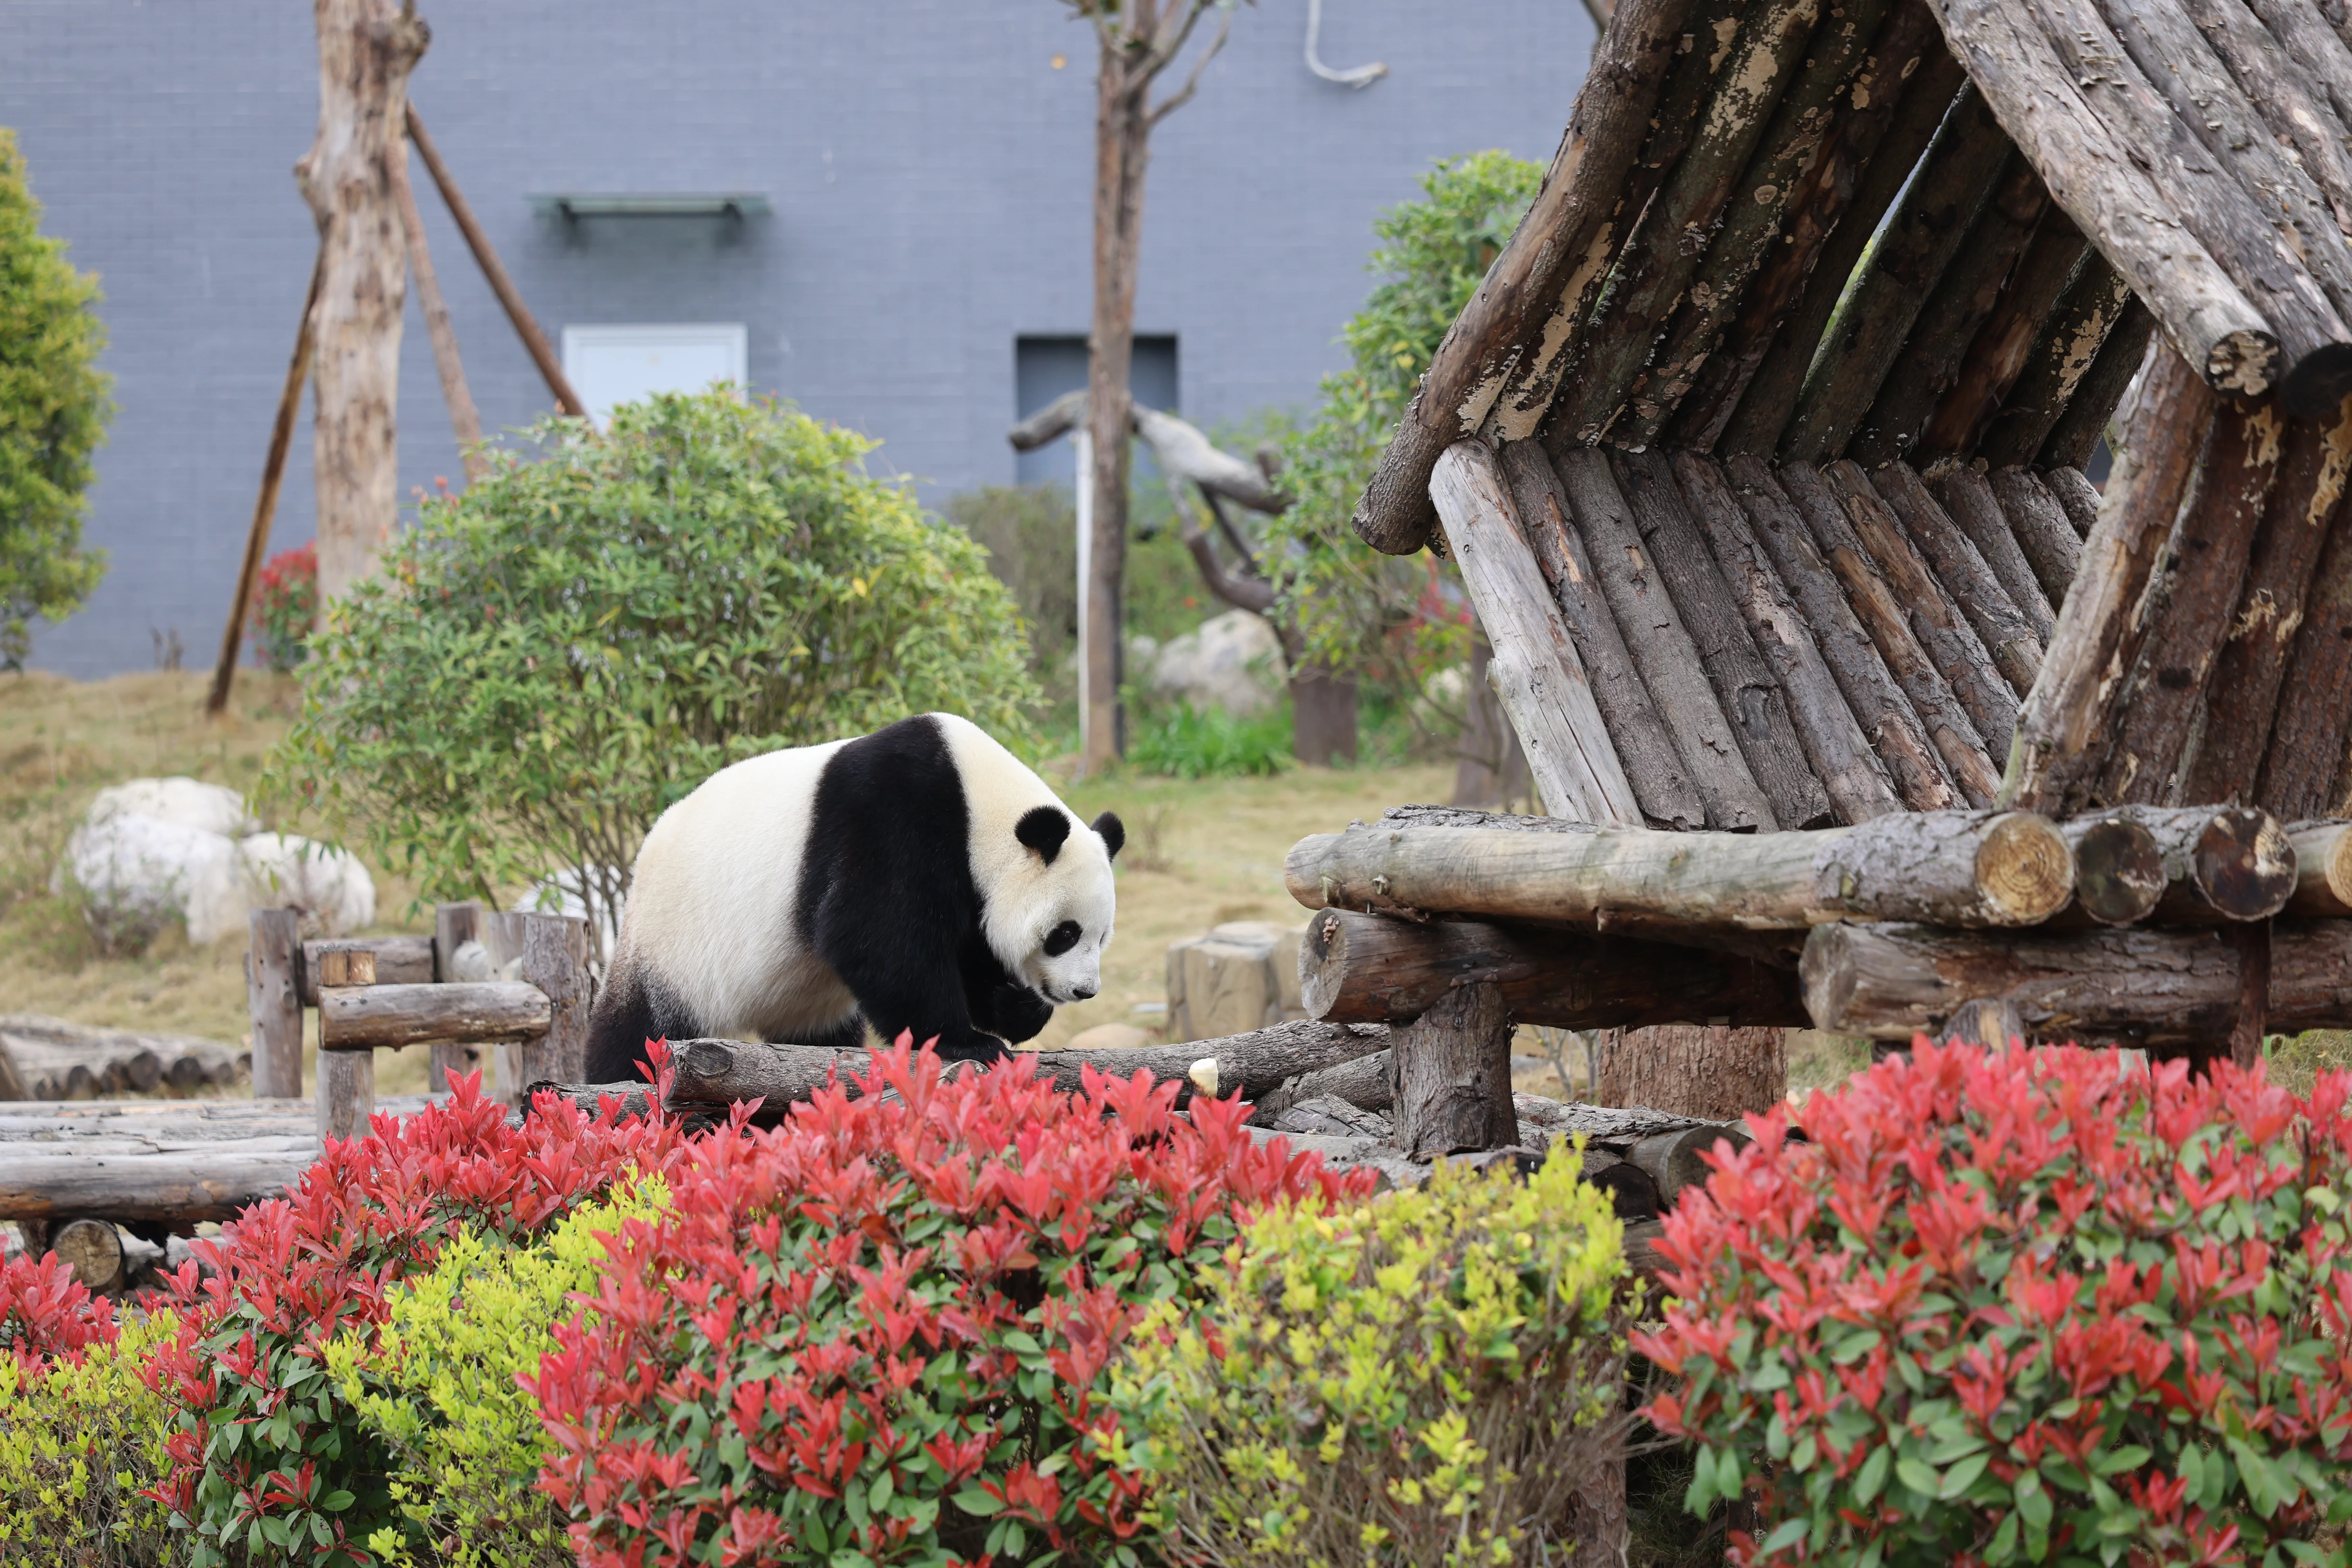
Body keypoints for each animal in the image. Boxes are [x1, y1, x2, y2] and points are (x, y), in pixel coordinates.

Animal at [582, 712, 1123, 1083]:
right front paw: (969, 1043)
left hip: (799, 997)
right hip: (672, 945)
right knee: (638, 1032)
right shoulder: (892, 817)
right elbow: (875, 936)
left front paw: (1019, 1009)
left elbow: (967, 952)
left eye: (1102, 938)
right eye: (1065, 934)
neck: (978, 804)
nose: (1085, 991)